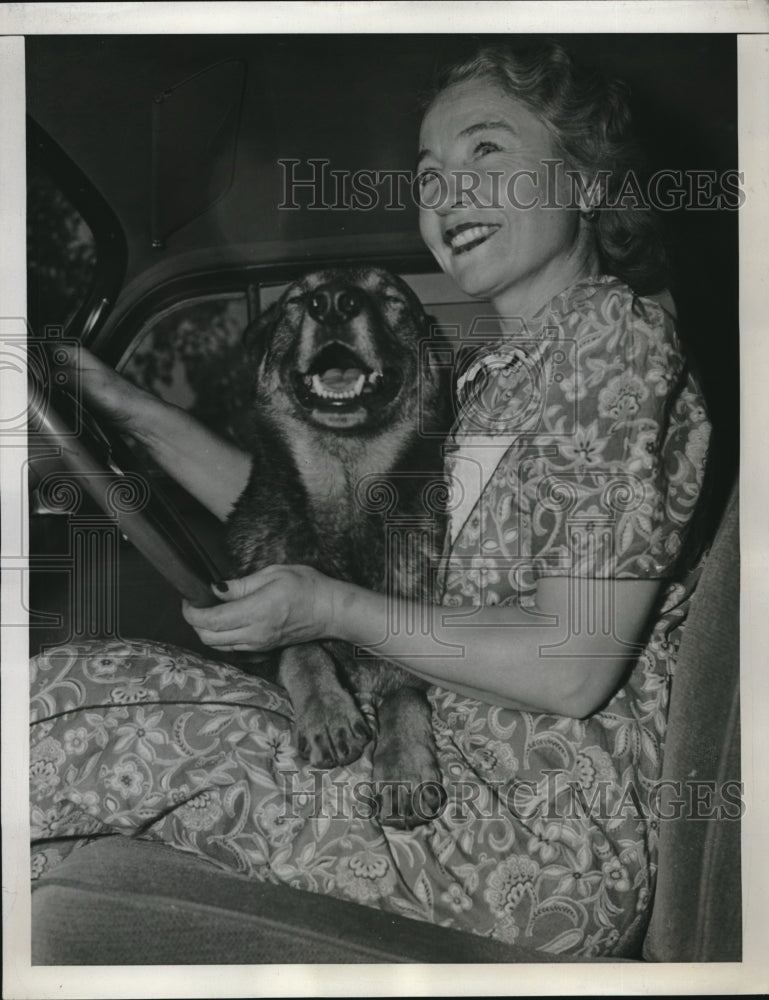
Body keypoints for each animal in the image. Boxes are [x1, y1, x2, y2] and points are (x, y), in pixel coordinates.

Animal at [225, 266, 450, 828]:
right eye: (298, 299)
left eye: (390, 297)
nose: (332, 303)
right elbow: (302, 649)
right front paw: (328, 711)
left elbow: (405, 695)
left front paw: (404, 765)